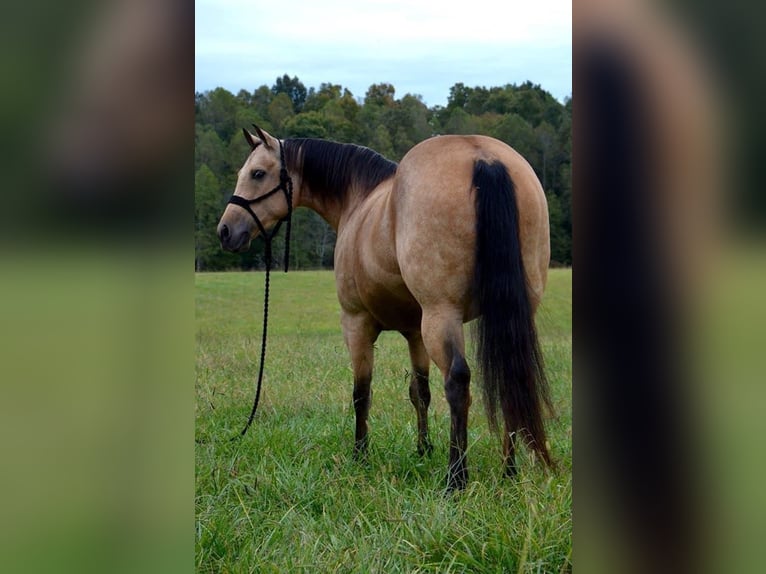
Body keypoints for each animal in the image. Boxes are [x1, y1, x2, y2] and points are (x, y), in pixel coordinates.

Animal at [216, 126, 552, 490]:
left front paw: (360, 454)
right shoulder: (415, 332)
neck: (358, 200)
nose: (225, 231)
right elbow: (420, 391)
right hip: (507, 315)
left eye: (257, 173)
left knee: (458, 382)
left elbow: (361, 393)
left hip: (442, 315)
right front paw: (423, 448)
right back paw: (509, 470)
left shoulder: (357, 324)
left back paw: (456, 478)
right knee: (510, 380)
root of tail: (483, 157)